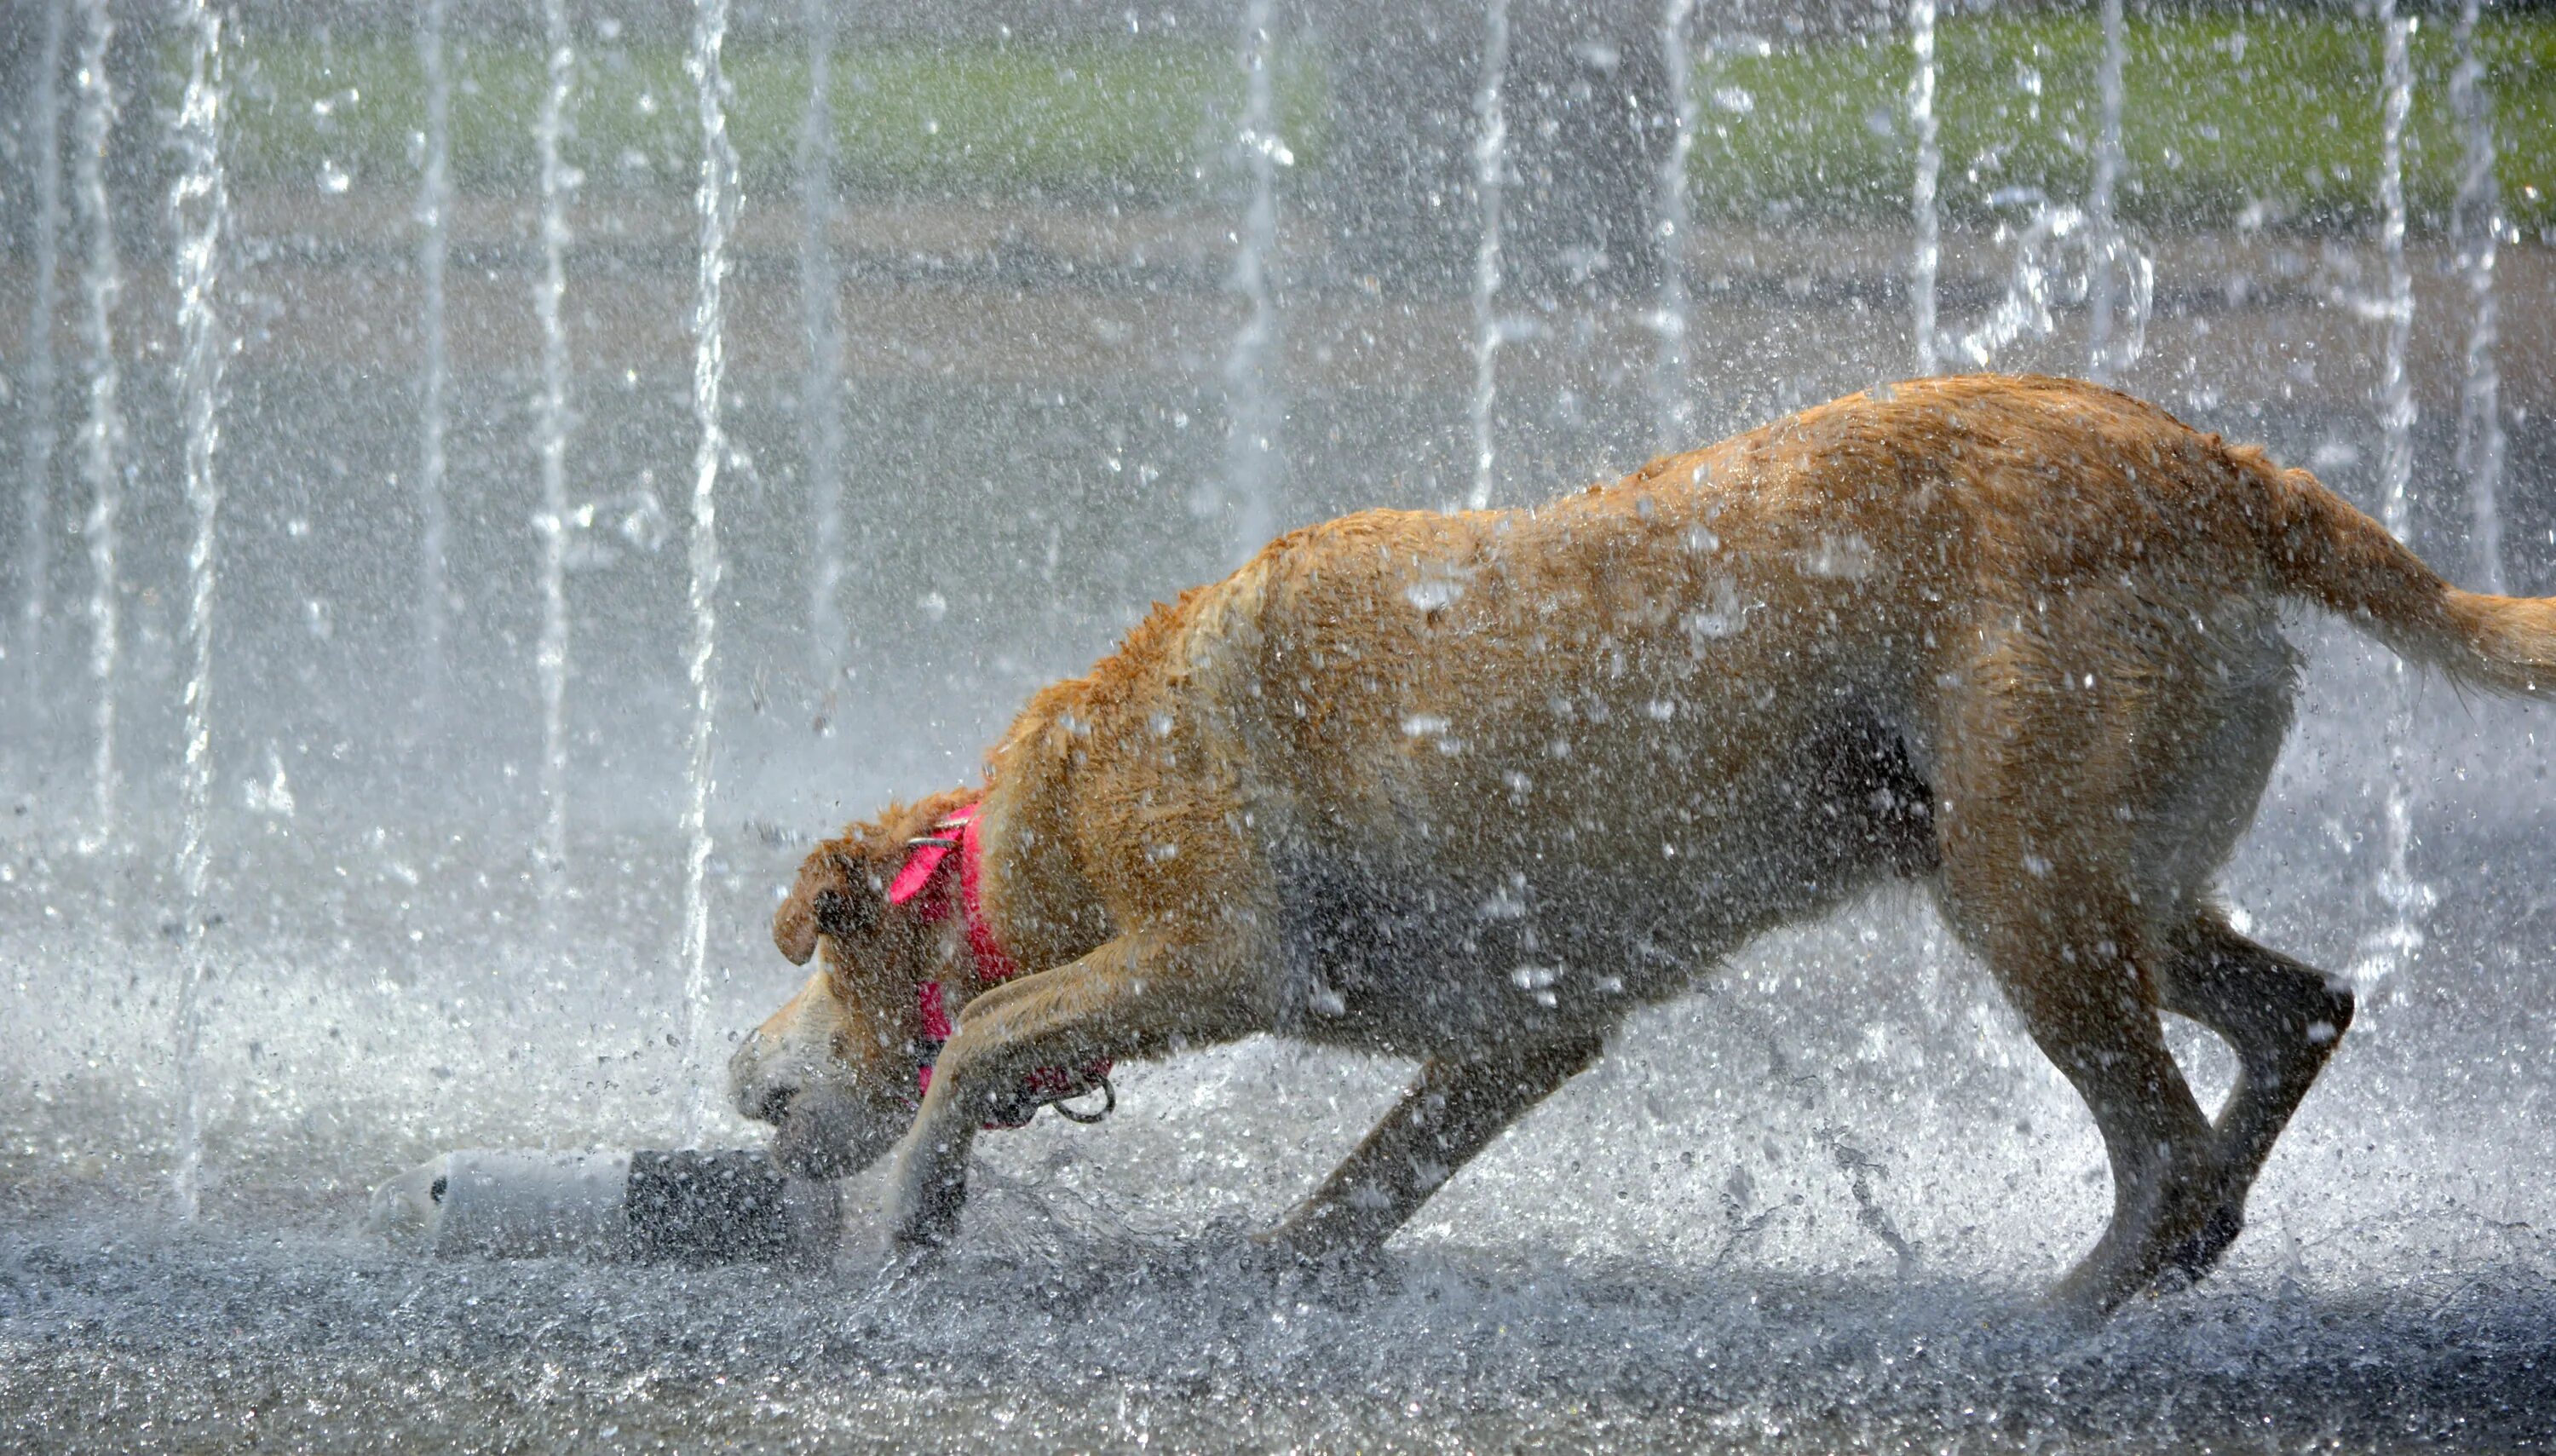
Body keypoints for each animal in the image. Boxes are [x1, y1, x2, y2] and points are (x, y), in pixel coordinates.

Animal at [731, 367, 2546, 1308]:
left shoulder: (1216, 948)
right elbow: (1363, 1182)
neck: (1036, 831)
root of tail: (2220, 466)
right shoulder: (1518, 1036)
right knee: (2301, 1012)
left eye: (812, 947)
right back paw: (2188, 1240)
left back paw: (2064, 1310)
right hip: (2111, 884)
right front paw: (1279, 1267)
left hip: (2027, 896)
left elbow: (983, 1028)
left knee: (2162, 1145)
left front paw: (919, 1213)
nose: (735, 1074)